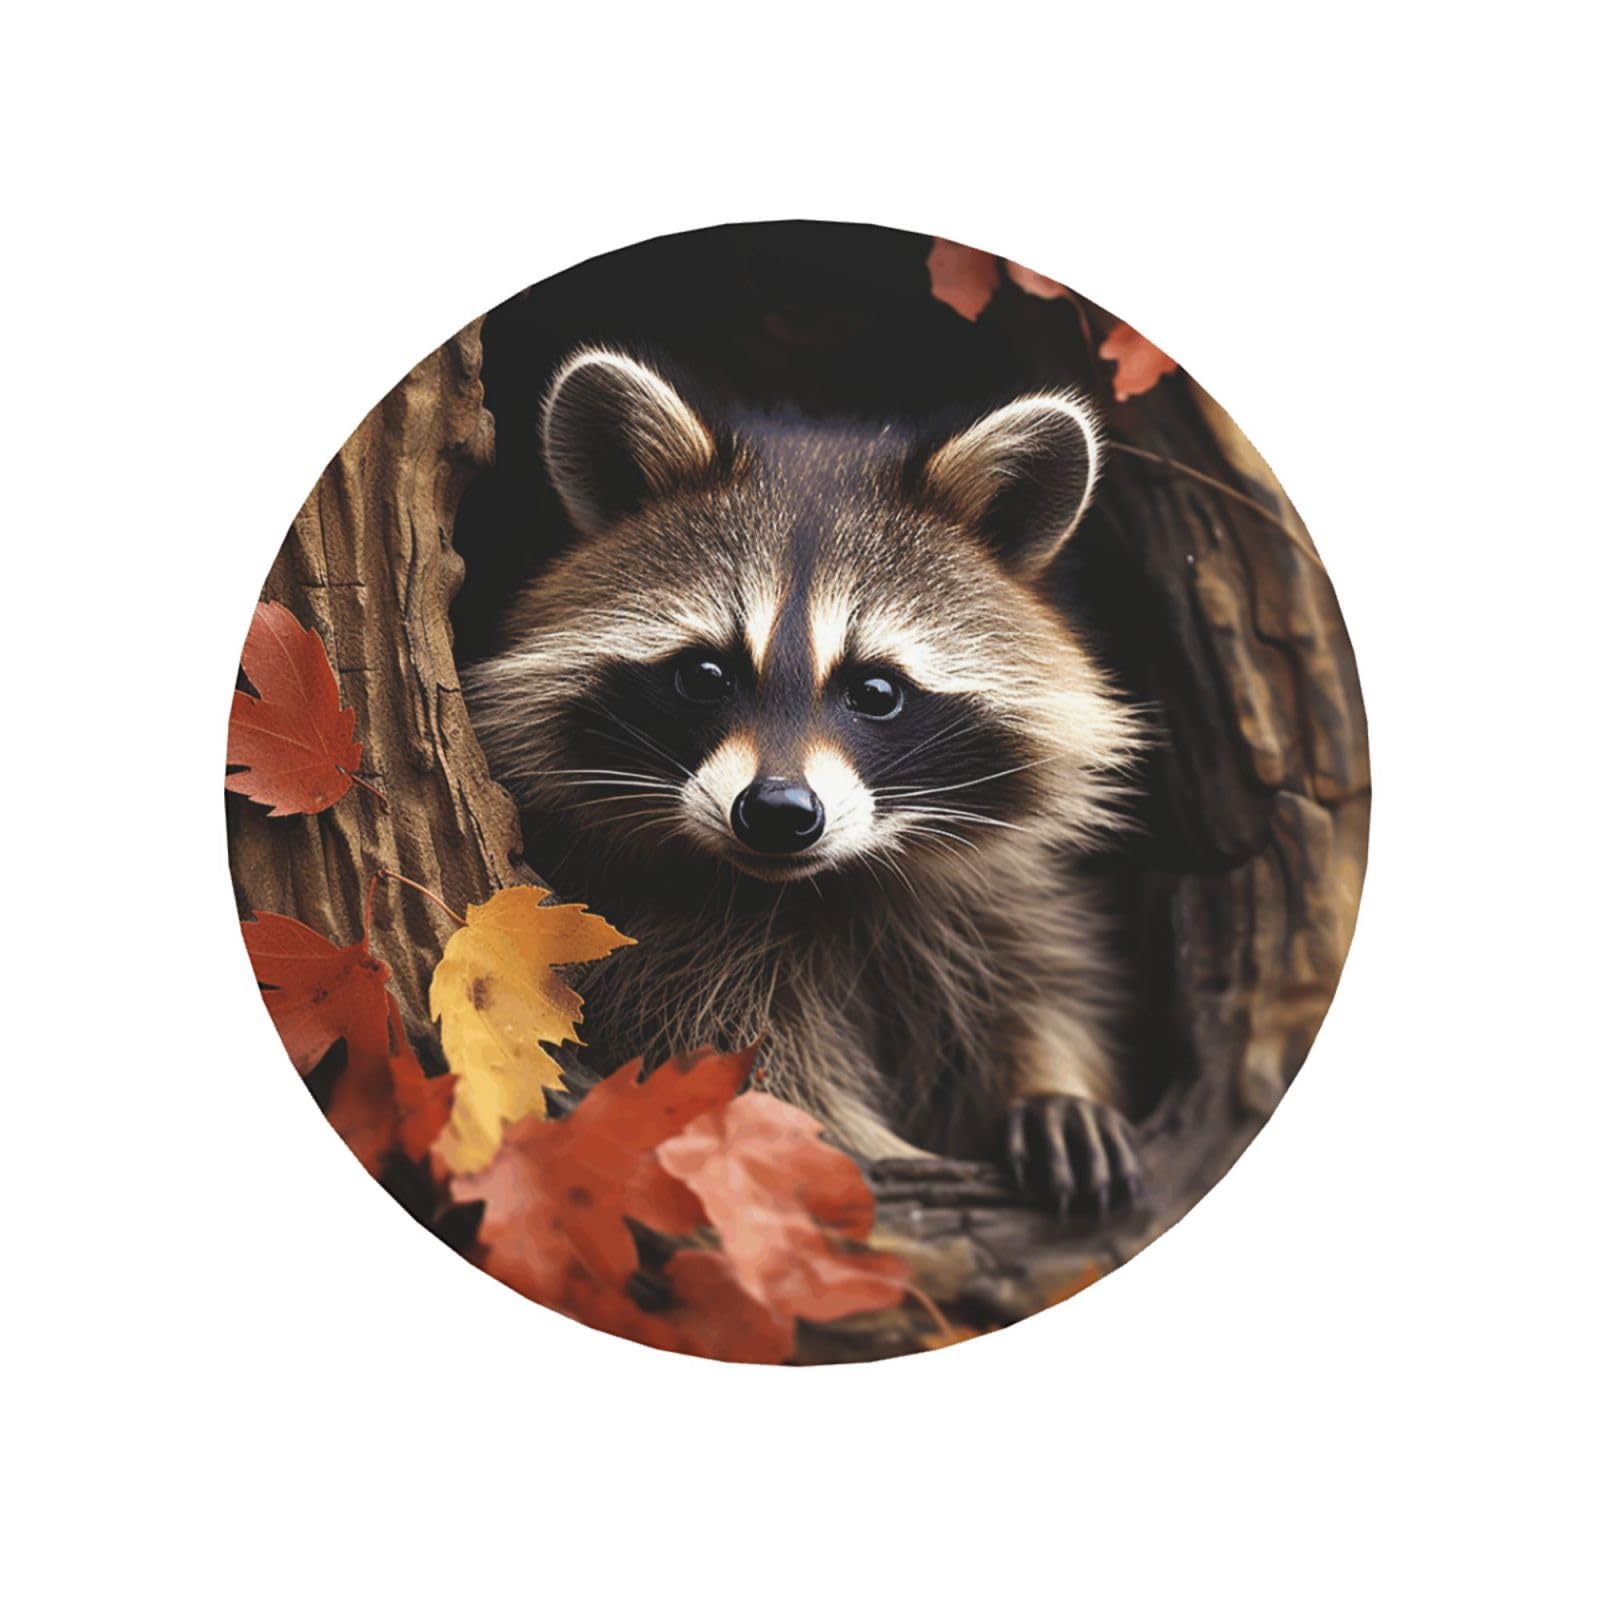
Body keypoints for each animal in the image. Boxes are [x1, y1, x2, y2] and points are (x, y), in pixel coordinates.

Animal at [465, 348, 1147, 1214]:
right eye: (706, 675)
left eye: (877, 691)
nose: (778, 811)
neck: (814, 888)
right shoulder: (657, 944)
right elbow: (751, 1074)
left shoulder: (993, 897)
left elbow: (1044, 980)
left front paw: (1055, 1083)